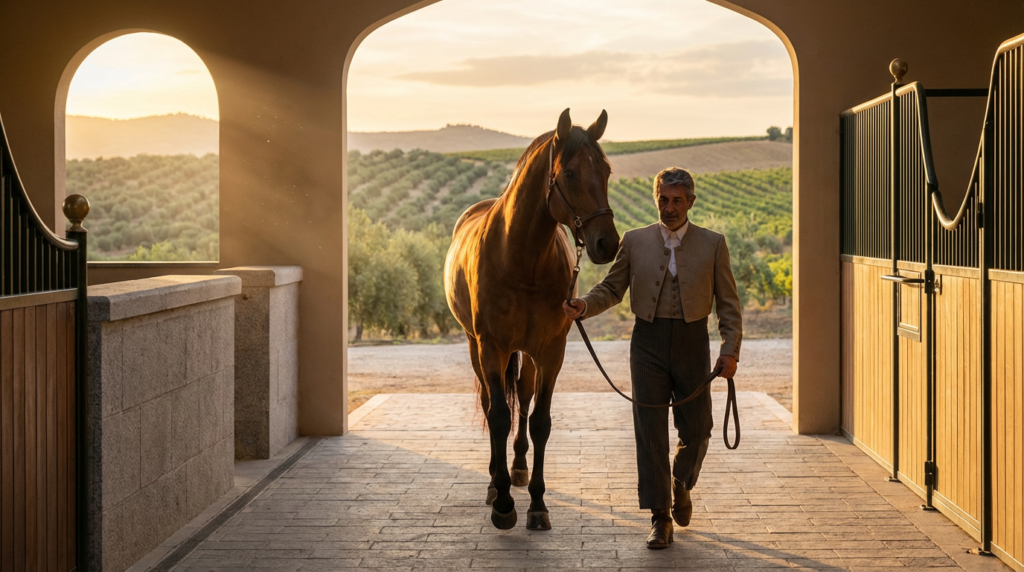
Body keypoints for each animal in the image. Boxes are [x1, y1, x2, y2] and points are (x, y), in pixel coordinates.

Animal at [444, 109, 619, 530]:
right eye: (569, 173)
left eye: (606, 170)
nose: (607, 243)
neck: (522, 258)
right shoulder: (491, 347)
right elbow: (498, 416)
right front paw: (503, 503)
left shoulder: (551, 351)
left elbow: (540, 420)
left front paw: (537, 503)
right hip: (479, 349)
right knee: (492, 403)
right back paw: (495, 480)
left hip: (524, 353)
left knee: (522, 397)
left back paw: (519, 469)